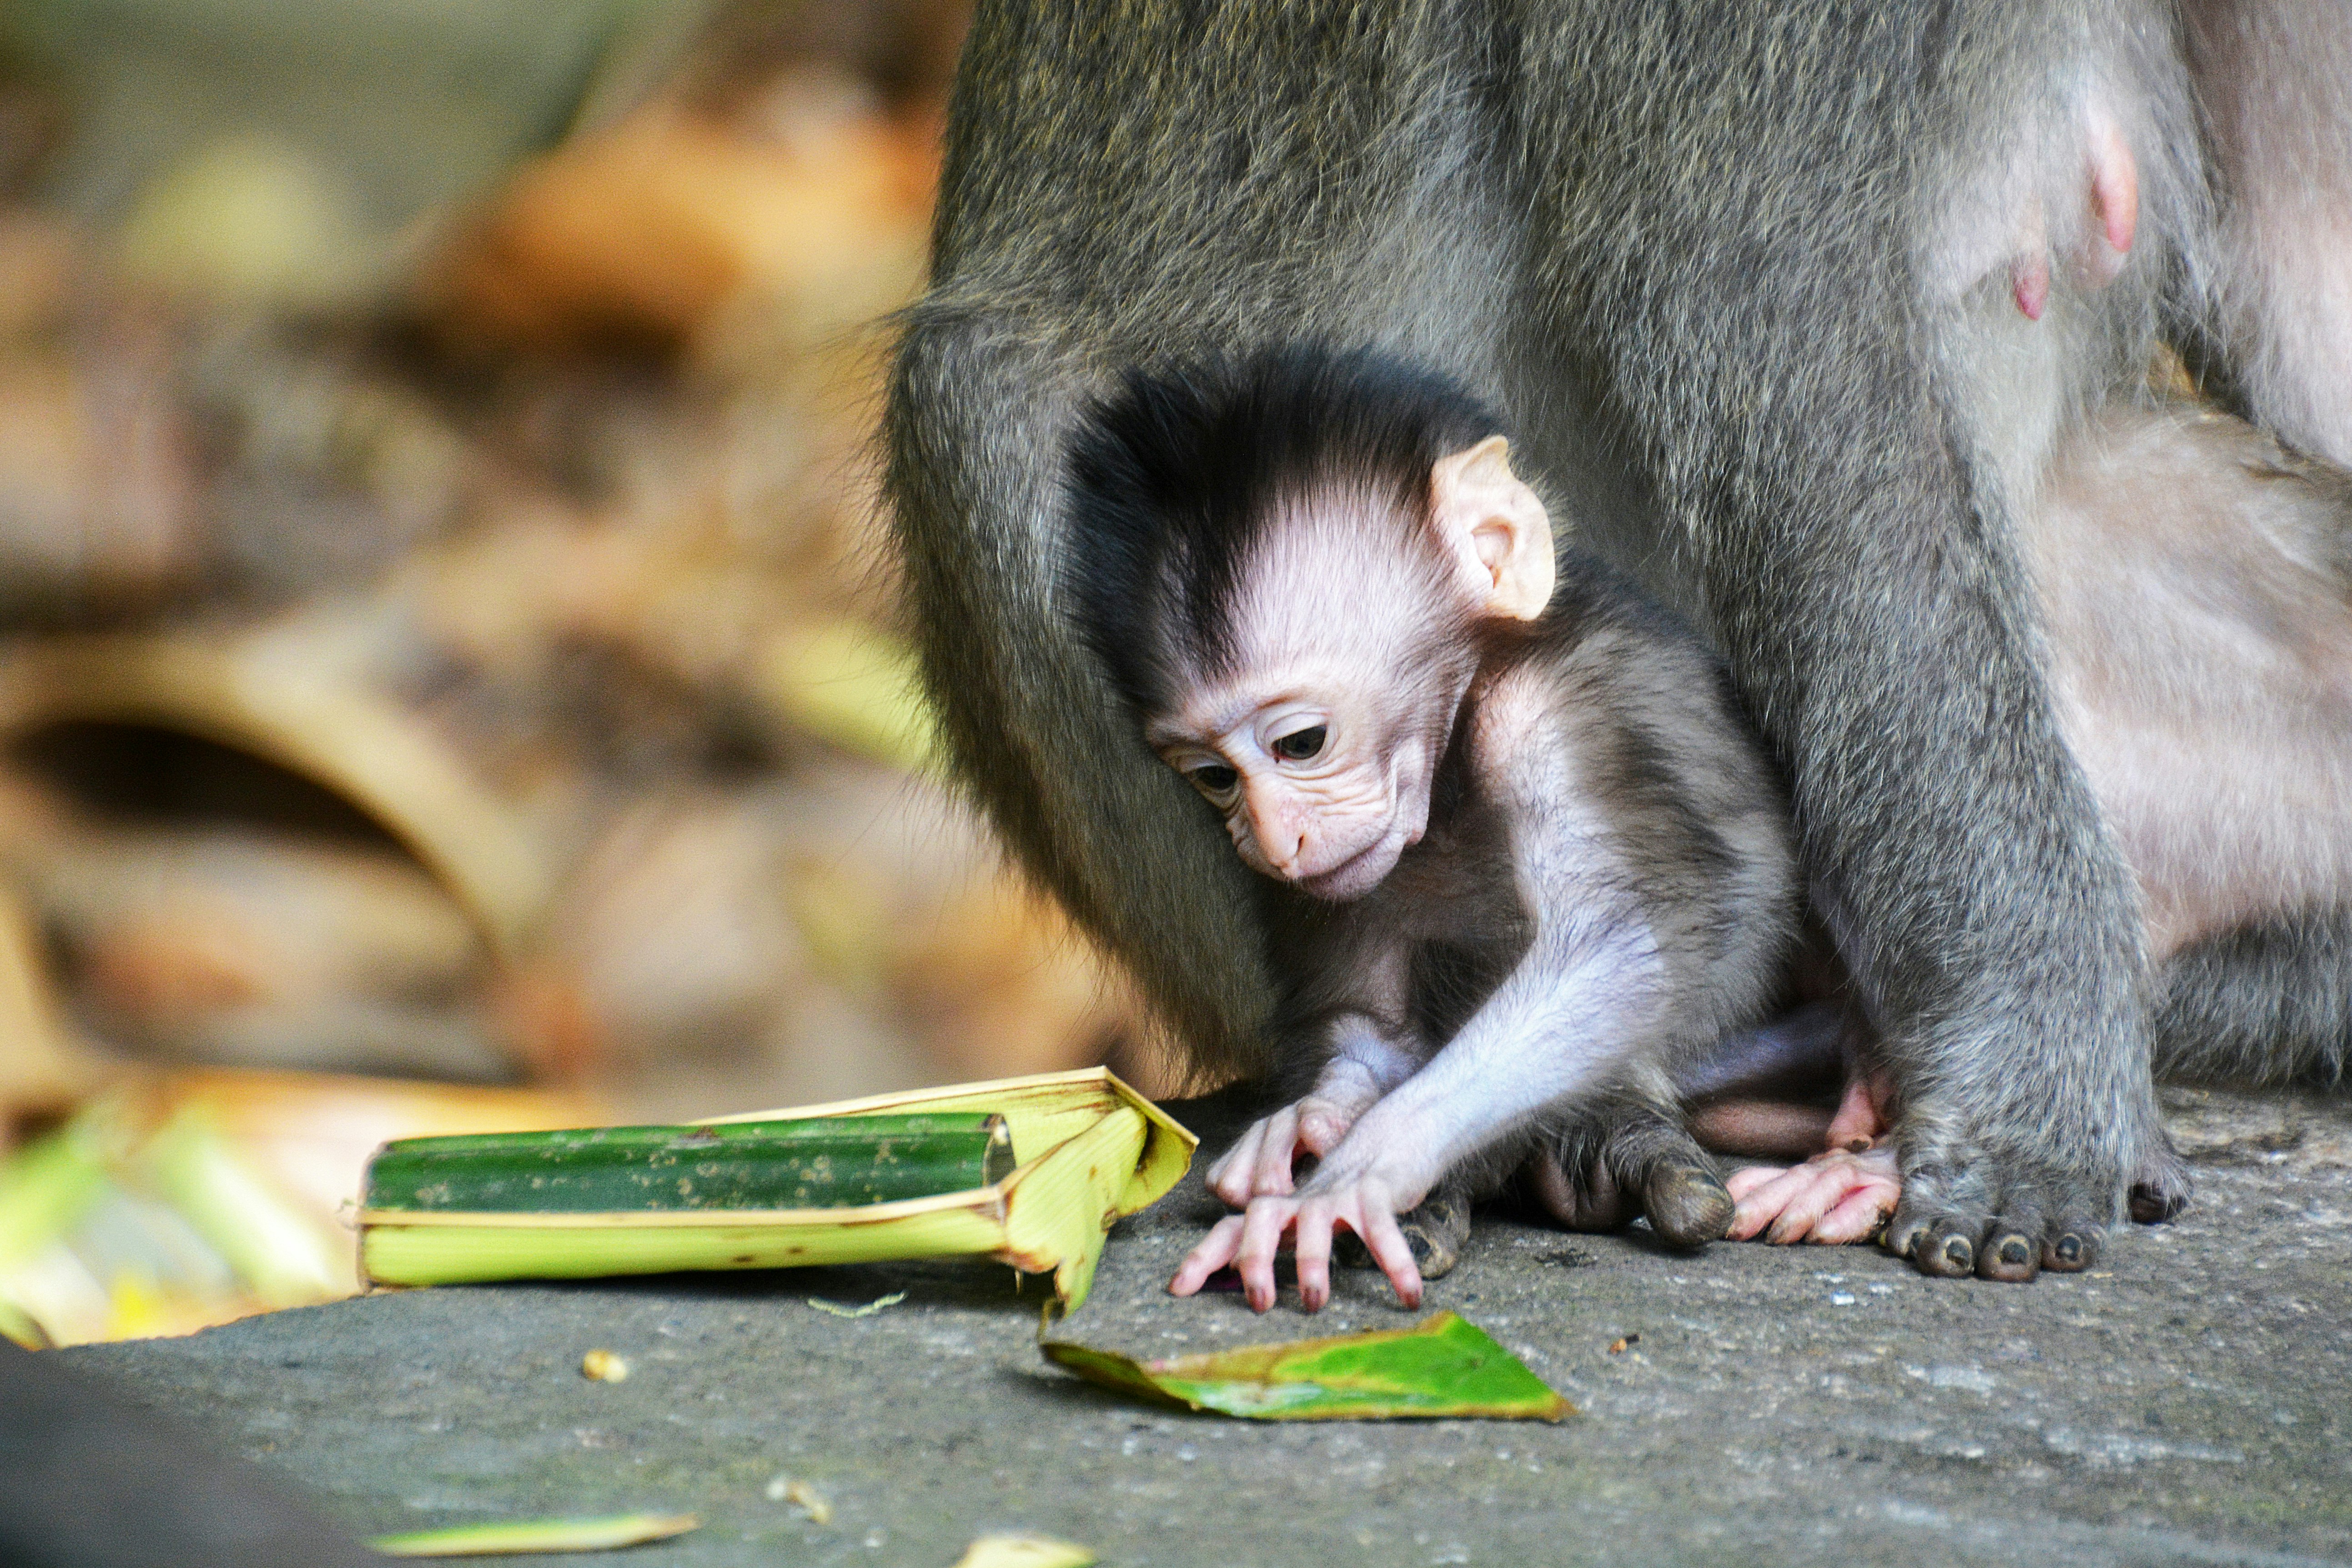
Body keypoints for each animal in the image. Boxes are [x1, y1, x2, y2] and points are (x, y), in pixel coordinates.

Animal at [1068, 346, 1797, 1316]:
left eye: (1301, 742)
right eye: (1215, 777)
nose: (1271, 840)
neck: (1455, 744)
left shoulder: (1546, 712)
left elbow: (1616, 949)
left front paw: (1358, 1169)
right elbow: (1371, 1023)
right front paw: (1310, 1122)